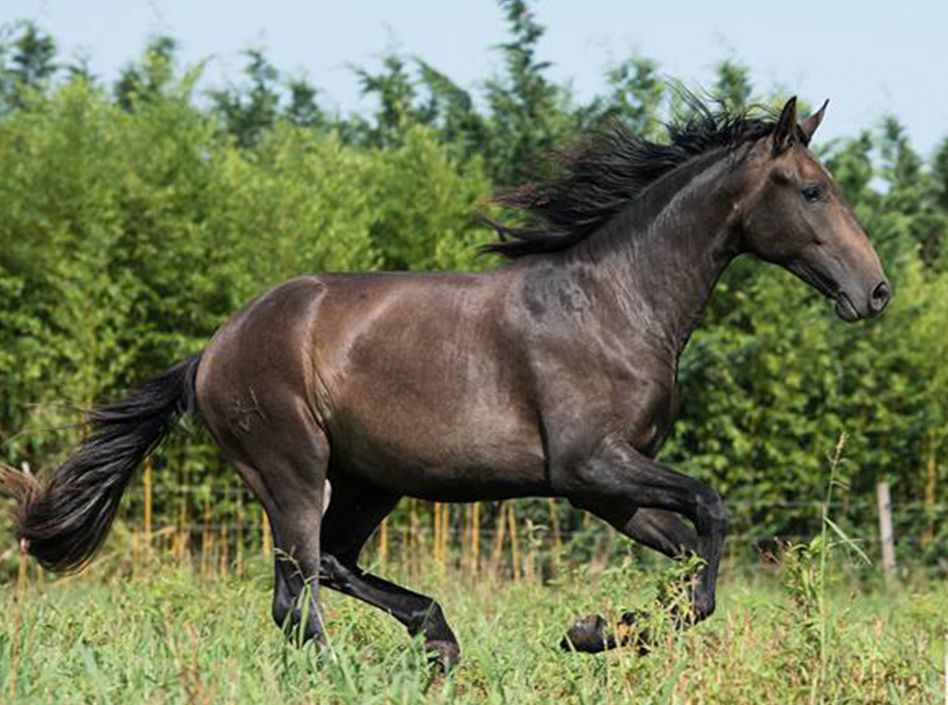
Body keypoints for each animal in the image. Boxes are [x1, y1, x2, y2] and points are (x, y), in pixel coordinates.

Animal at [0, 95, 888, 664]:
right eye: (812, 189)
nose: (874, 291)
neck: (616, 301)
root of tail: (211, 353)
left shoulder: (609, 487)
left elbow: (683, 561)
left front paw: (591, 632)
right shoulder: (590, 466)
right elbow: (711, 514)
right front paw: (590, 630)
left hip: (371, 479)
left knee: (330, 566)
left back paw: (439, 637)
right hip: (292, 470)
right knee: (298, 594)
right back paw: (371, 661)